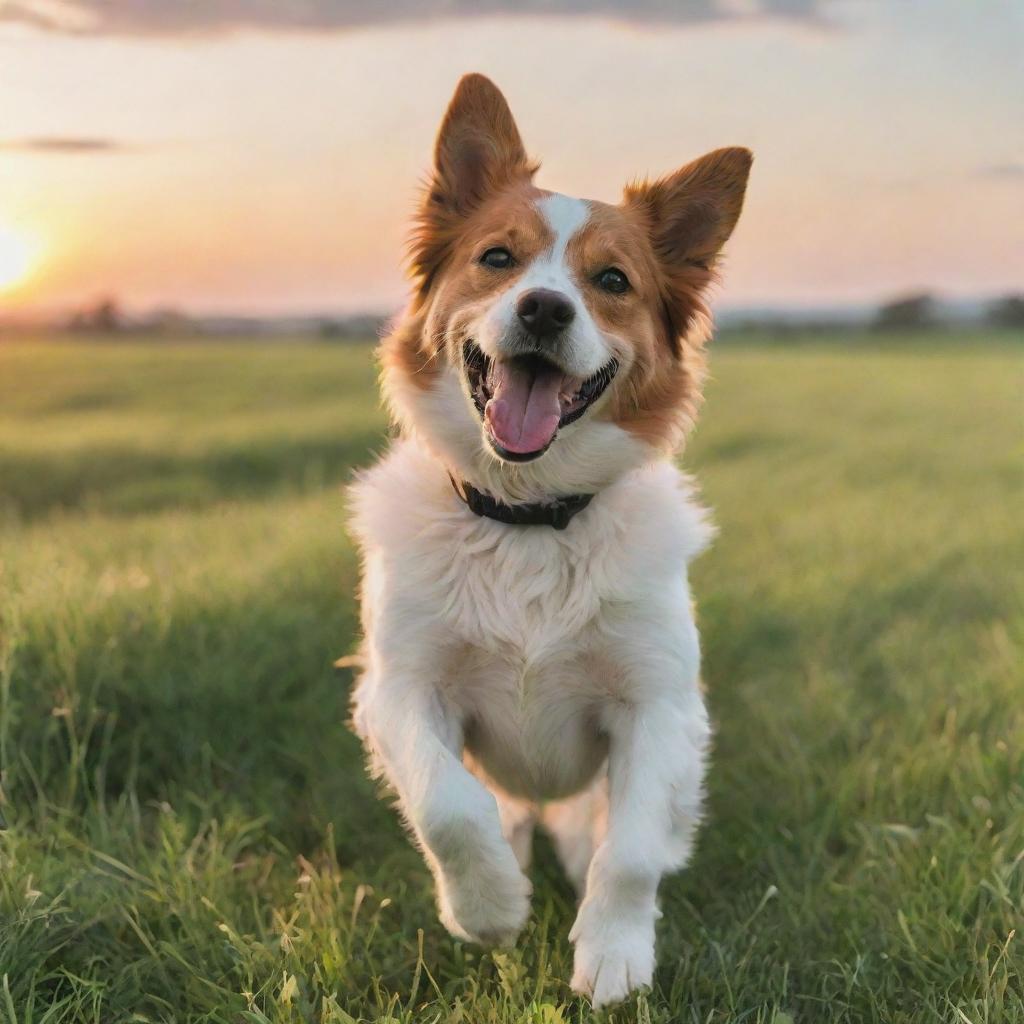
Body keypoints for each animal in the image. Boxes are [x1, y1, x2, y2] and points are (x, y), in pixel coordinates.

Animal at [352, 74, 753, 1007]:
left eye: (612, 279)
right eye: (497, 258)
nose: (543, 307)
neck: (528, 518)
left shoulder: (659, 707)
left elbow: (633, 852)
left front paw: (614, 956)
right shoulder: (399, 689)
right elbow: (448, 806)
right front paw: (490, 908)